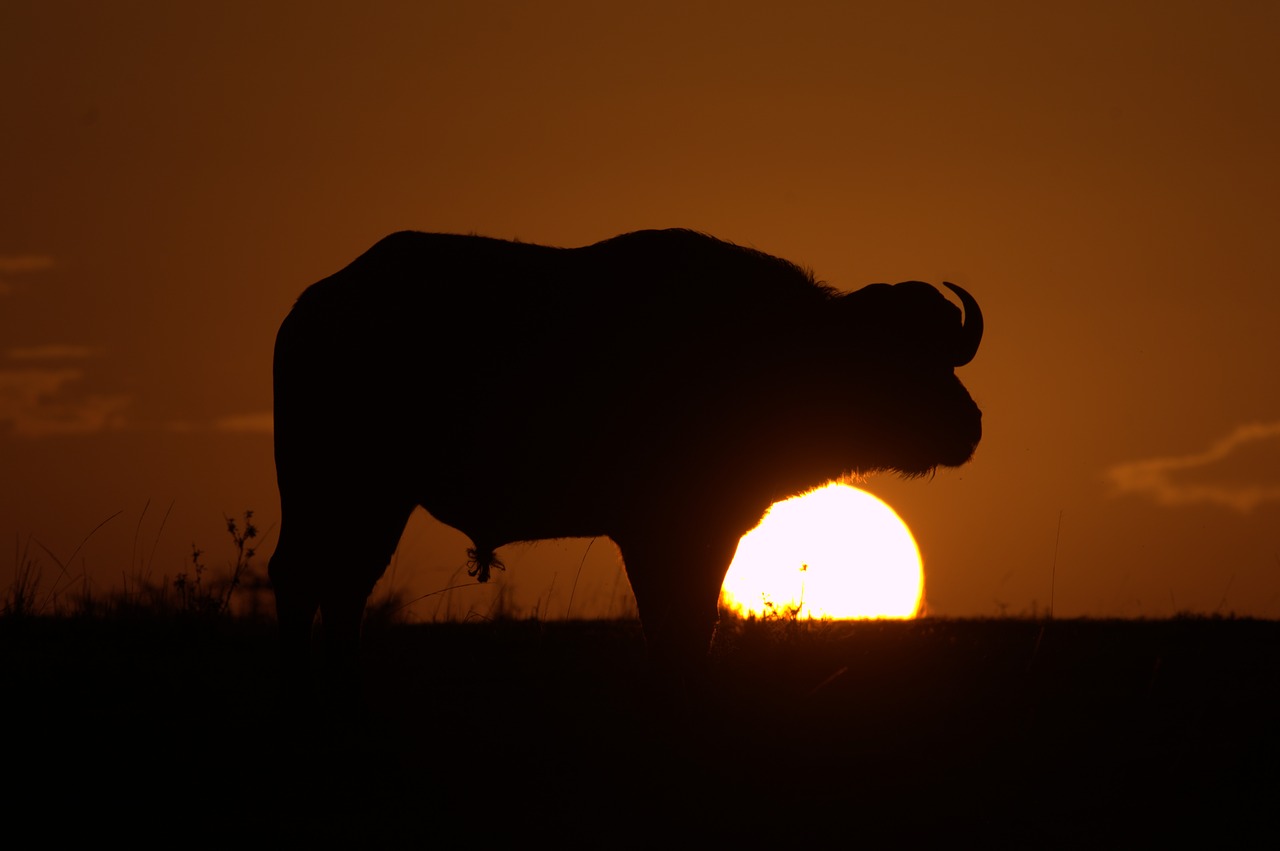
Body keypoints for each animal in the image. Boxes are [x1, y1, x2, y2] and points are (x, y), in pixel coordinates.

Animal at [270, 229, 983, 680]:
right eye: (896, 358)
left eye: (942, 352)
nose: (971, 425)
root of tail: (312, 309)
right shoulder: (653, 532)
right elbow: (669, 620)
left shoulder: (712, 530)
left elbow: (693, 619)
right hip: (332, 489)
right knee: (304, 576)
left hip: (372, 501)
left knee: (343, 582)